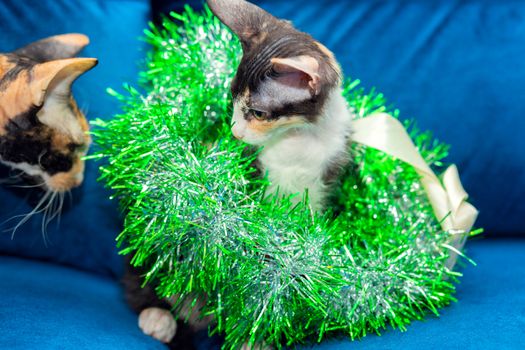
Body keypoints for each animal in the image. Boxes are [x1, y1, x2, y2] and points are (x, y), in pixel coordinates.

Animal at [126, 0, 352, 348]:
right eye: (232, 98)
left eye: (258, 113)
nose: (235, 132)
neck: (297, 139)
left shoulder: (327, 174)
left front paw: (259, 335)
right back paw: (160, 314)